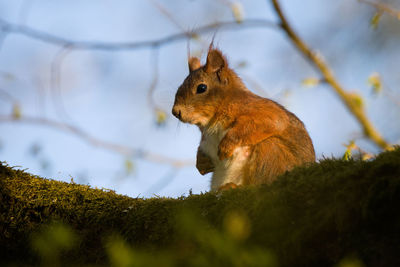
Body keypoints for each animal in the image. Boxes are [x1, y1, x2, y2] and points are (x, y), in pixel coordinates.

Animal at [172, 46, 316, 193]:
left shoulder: (262, 110)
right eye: (178, 87)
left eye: (202, 88)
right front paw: (201, 162)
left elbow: (272, 122)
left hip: (270, 151)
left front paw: (226, 145)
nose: (175, 112)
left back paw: (233, 186)